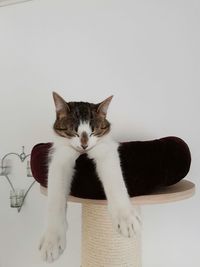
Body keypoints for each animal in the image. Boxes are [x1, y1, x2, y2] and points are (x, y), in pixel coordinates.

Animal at [39, 92, 141, 264]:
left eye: (94, 132)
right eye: (73, 132)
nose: (84, 145)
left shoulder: (106, 149)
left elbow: (115, 181)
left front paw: (126, 218)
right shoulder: (59, 157)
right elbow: (54, 200)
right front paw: (51, 241)